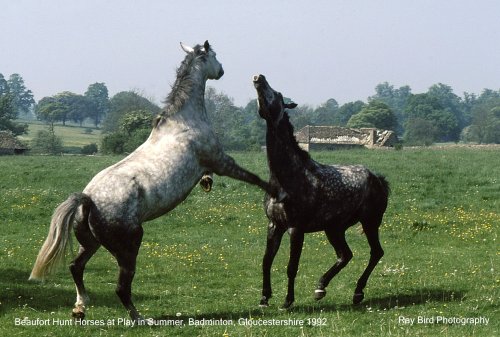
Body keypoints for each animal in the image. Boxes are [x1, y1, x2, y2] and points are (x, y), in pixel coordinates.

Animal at [28, 42, 276, 320]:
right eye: (214, 56)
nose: (221, 70)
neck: (184, 121)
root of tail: (88, 199)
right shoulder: (220, 160)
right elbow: (251, 177)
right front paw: (275, 189)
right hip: (129, 245)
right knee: (121, 287)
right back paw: (139, 318)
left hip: (91, 243)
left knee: (75, 267)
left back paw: (80, 306)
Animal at [254, 75, 390, 308]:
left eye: (278, 94)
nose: (258, 78)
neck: (287, 178)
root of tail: (378, 179)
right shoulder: (274, 225)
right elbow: (266, 262)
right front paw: (264, 298)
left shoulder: (295, 229)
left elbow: (292, 266)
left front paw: (287, 301)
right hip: (334, 228)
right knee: (345, 255)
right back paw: (320, 288)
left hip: (369, 222)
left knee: (375, 252)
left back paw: (357, 293)